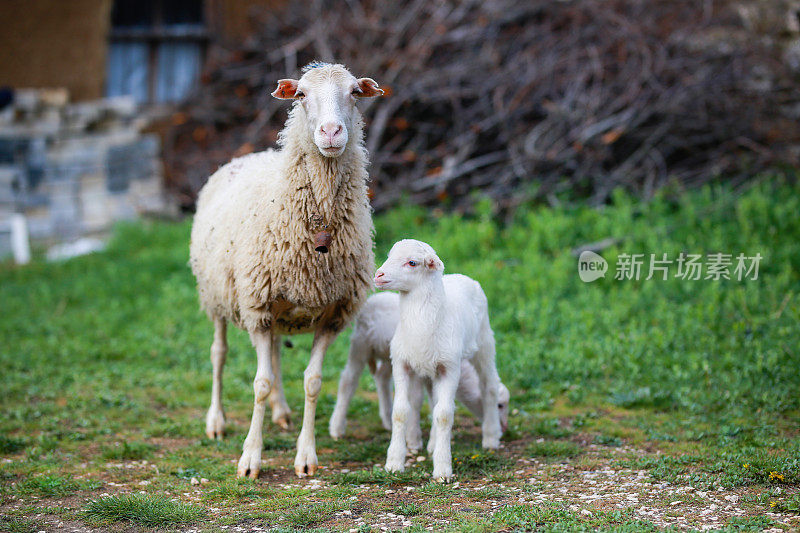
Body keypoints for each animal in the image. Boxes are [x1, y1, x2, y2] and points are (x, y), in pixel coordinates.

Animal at [191, 62, 384, 478]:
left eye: (354, 93)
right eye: (301, 95)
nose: (331, 132)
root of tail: (247, 156)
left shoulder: (332, 314)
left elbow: (312, 382)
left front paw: (306, 456)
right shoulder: (257, 307)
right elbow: (260, 383)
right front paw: (250, 459)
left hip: (277, 308)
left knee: (277, 352)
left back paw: (280, 412)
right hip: (218, 296)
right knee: (218, 353)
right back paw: (216, 421)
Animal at [328, 290, 510, 440]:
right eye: (500, 405)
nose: (505, 429)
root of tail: (374, 298)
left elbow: (433, 400)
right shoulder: (417, 369)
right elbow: (416, 399)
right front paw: (413, 439)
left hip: (388, 356)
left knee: (381, 378)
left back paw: (387, 419)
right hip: (361, 344)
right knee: (348, 380)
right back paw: (337, 428)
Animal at [374, 239, 500, 480]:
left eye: (412, 263)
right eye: (389, 256)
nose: (378, 275)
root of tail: (462, 276)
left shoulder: (450, 368)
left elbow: (444, 415)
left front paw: (442, 469)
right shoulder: (402, 364)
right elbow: (400, 411)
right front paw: (394, 462)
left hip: (485, 345)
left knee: (489, 387)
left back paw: (491, 437)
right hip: (430, 368)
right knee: (433, 401)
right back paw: (432, 444)